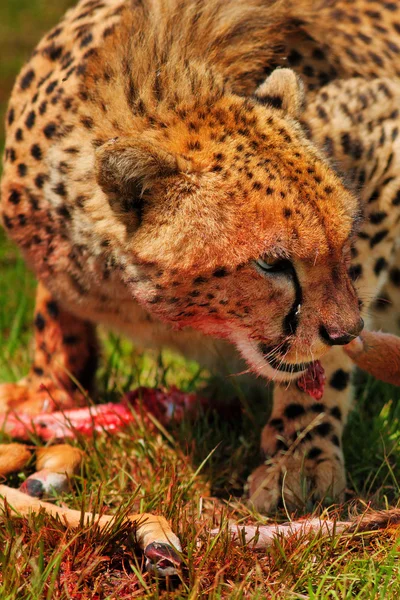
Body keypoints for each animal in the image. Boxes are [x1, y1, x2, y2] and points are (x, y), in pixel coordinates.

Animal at [2, 1, 400, 516]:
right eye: (272, 263)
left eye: (345, 239)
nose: (348, 332)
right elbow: (54, 313)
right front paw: (47, 389)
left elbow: (322, 367)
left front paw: (301, 455)